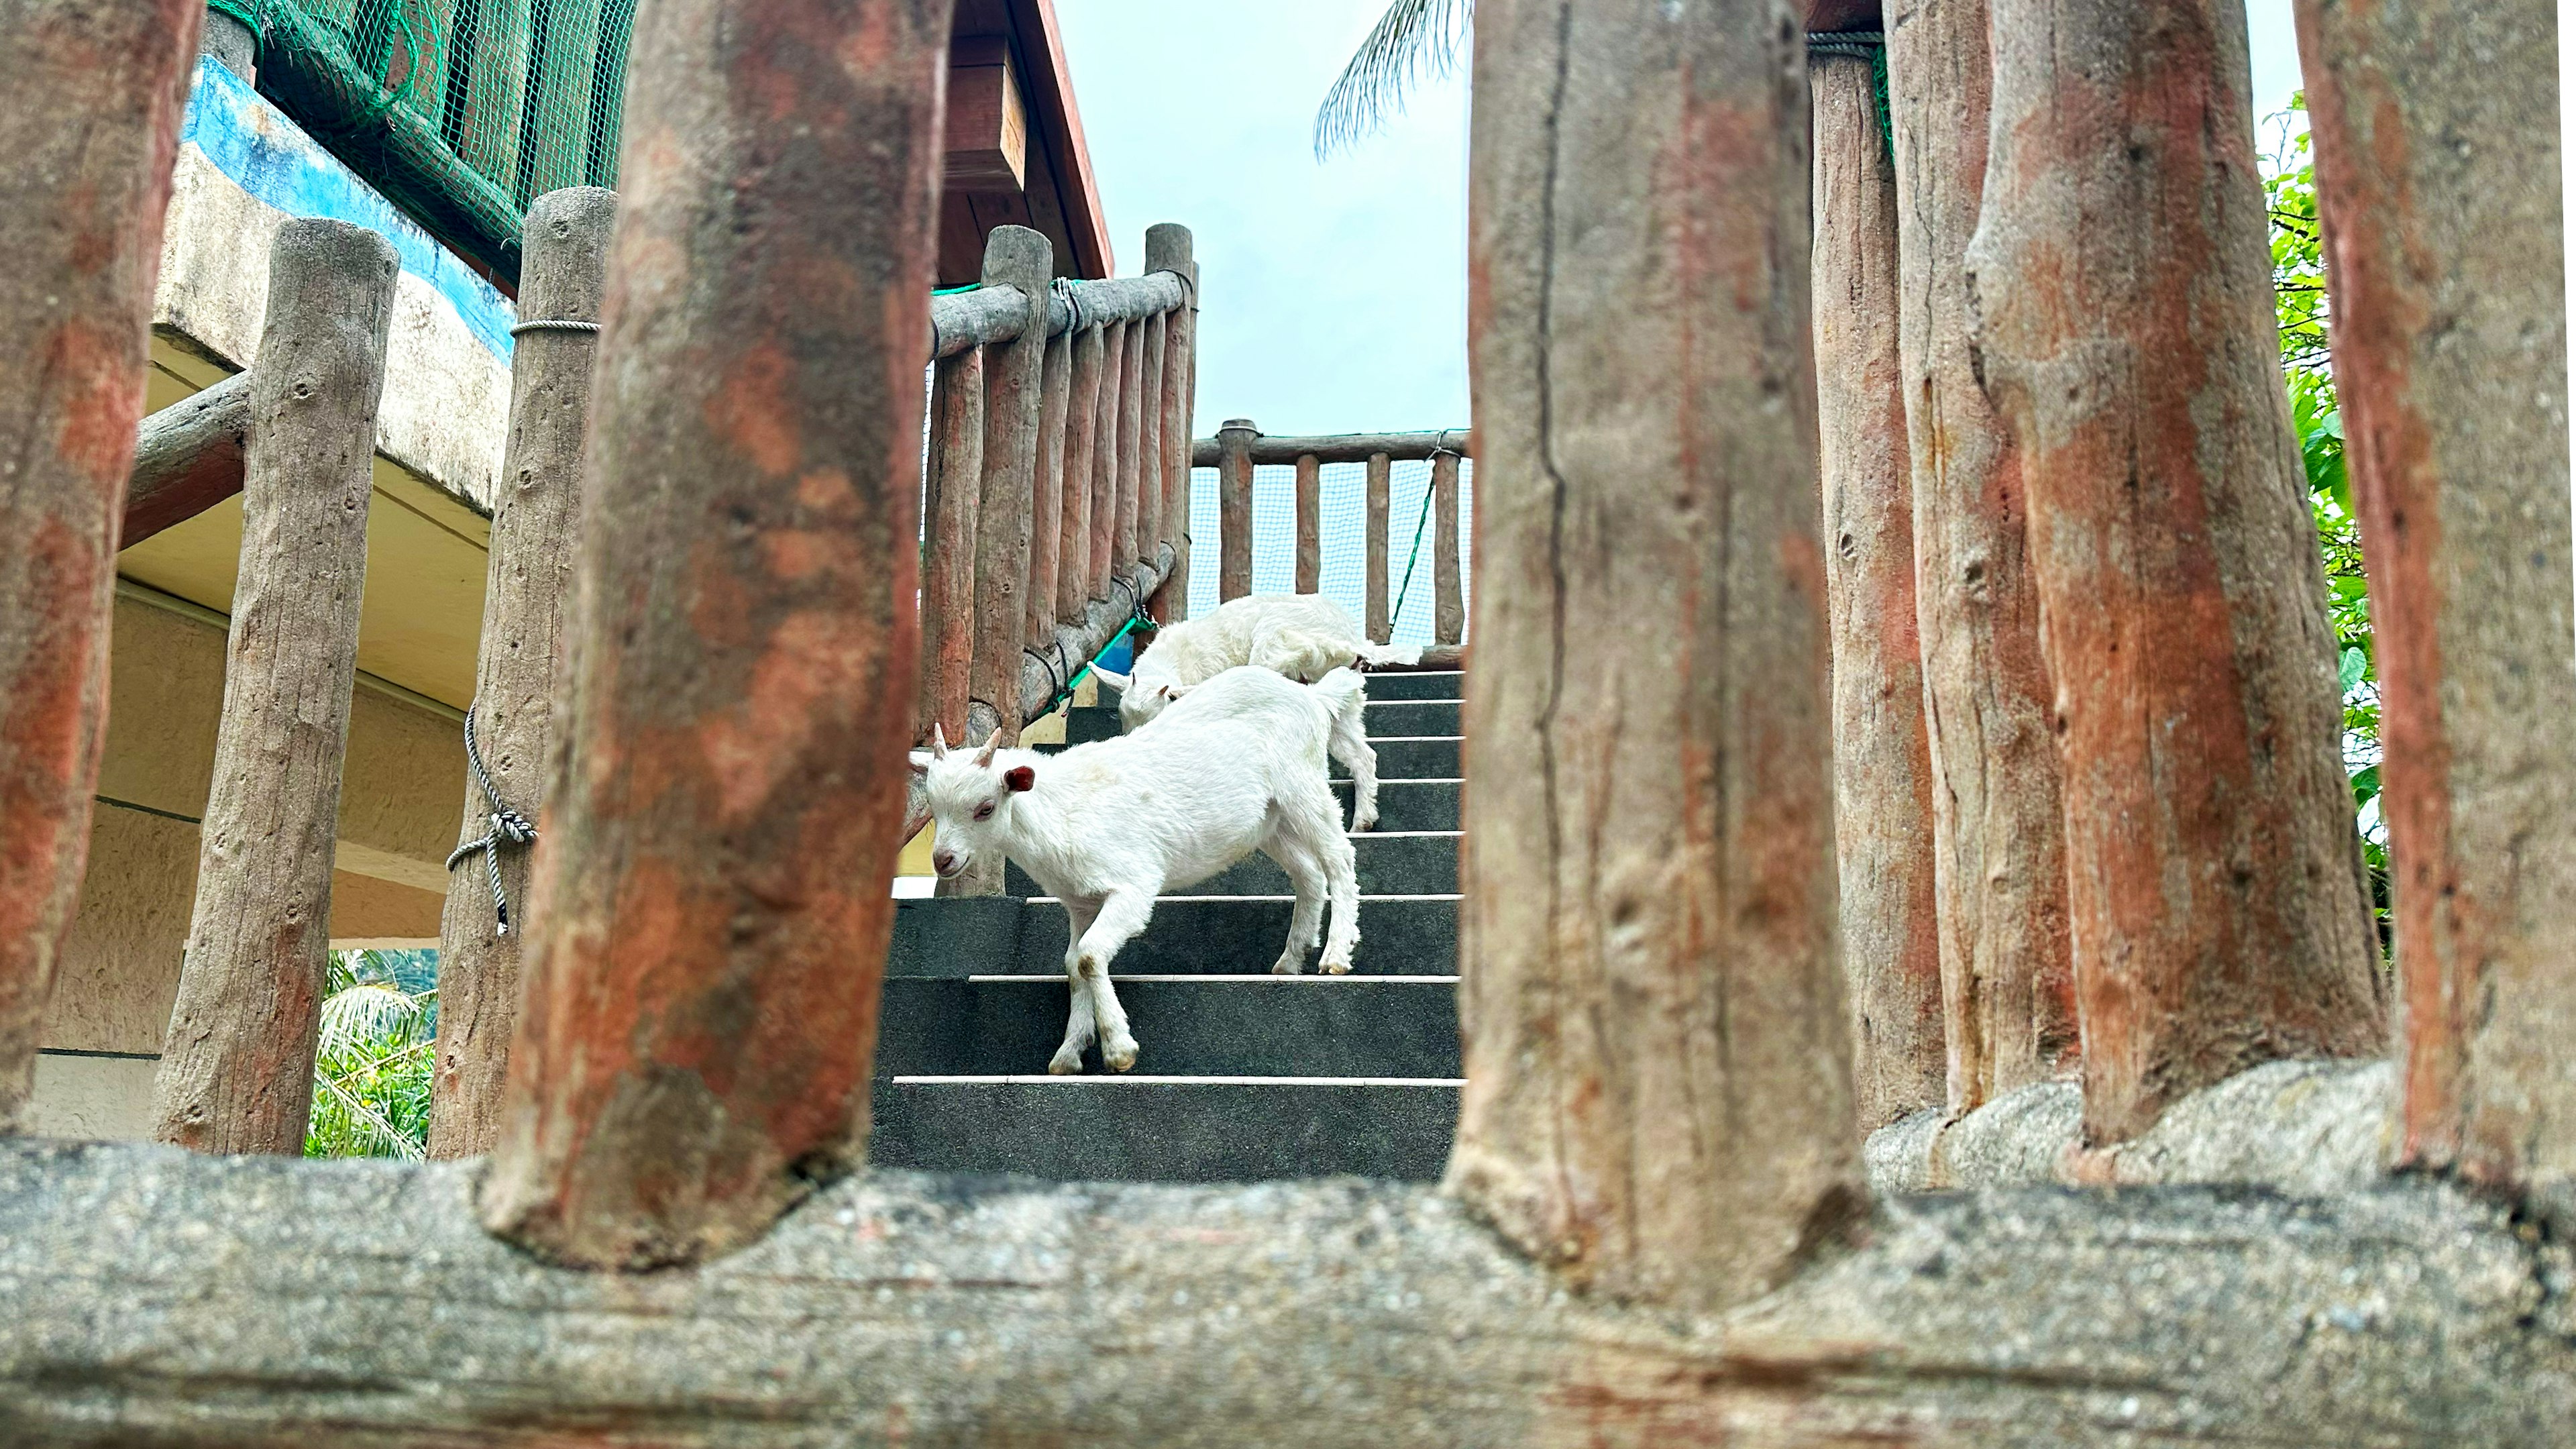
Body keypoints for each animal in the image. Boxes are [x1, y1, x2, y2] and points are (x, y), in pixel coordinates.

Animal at [922, 665, 1370, 1072]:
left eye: (985, 808)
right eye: (932, 807)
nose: (943, 860)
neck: (1063, 812)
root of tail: (1312, 697)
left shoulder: (1133, 885)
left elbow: (1089, 956)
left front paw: (1119, 1049)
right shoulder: (1080, 903)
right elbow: (1072, 963)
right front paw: (1069, 1053)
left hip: (1303, 784)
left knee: (1339, 857)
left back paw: (1335, 954)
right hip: (1269, 820)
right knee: (1309, 873)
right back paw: (1292, 958)